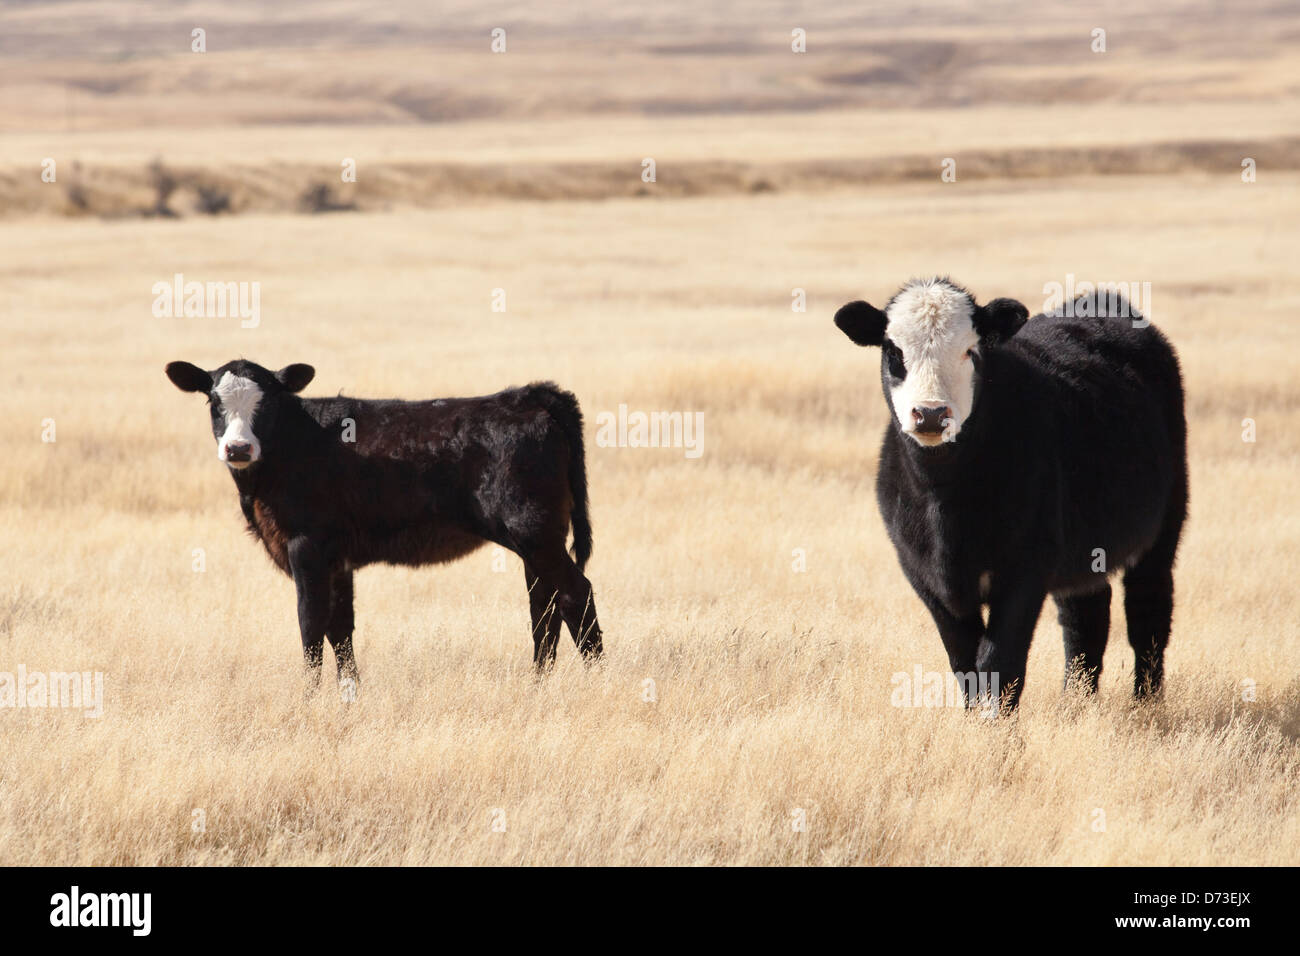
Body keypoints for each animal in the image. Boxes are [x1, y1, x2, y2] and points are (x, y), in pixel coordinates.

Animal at [166, 358, 603, 686]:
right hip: (540, 538)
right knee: (544, 607)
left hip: (533, 532)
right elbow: (340, 629)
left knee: (574, 595)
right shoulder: (337, 561)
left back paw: (598, 683)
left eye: (268, 403)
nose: (238, 448)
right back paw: (537, 686)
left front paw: (308, 702)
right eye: (214, 402)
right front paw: (349, 698)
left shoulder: (306, 546)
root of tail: (529, 395)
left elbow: (311, 627)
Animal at [832, 277, 1190, 712]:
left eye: (970, 350)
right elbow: (964, 662)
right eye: (893, 351)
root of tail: (1105, 302)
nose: (931, 414)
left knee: (1148, 612)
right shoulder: (924, 576)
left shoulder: (1025, 569)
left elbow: (1000, 663)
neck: (944, 500)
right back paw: (1076, 702)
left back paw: (1146, 705)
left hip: (1165, 526)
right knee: (1085, 614)